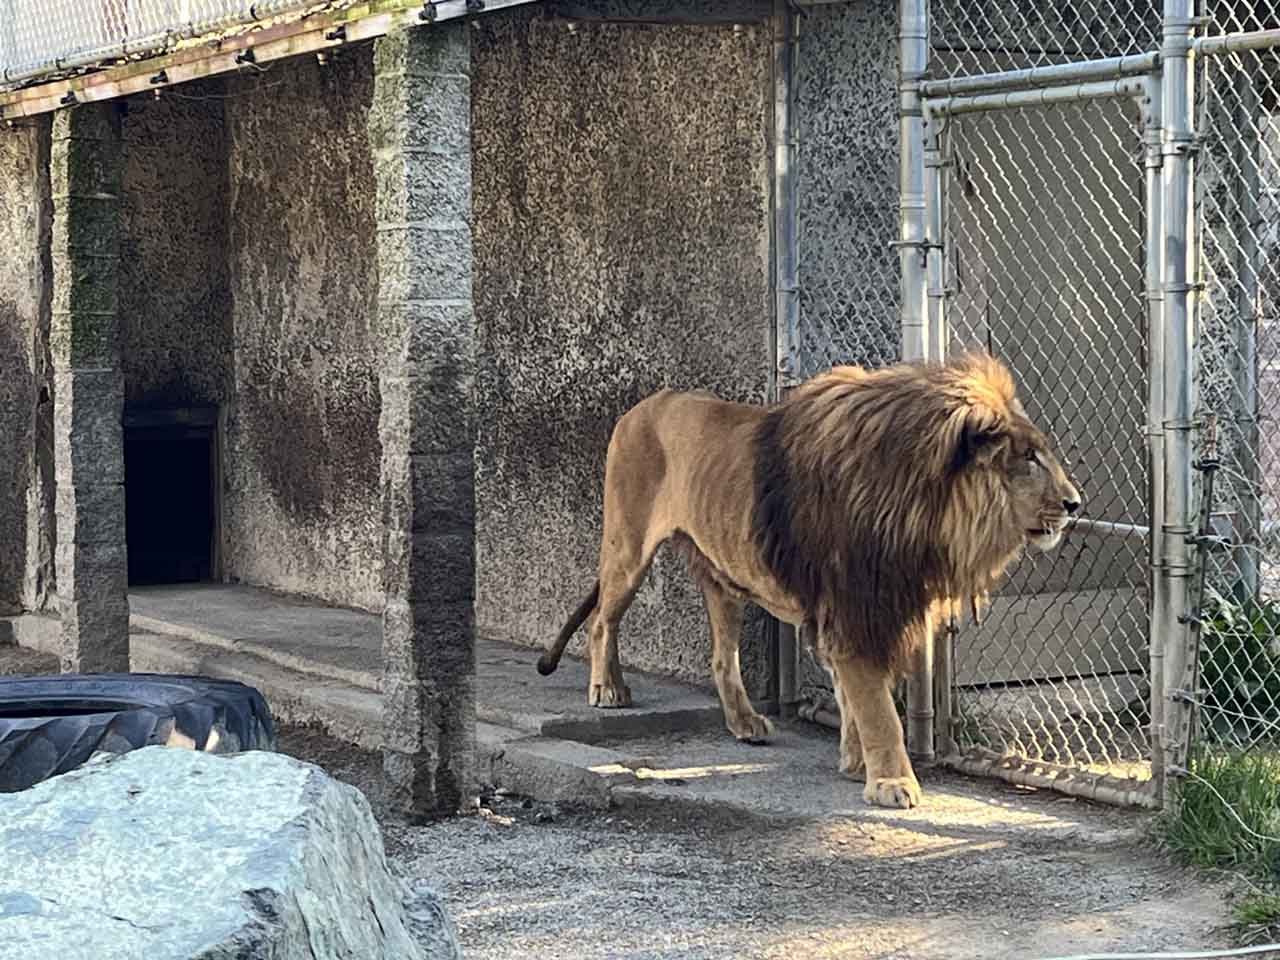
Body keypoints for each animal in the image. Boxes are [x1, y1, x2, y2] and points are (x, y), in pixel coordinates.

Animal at [536, 353, 1081, 809]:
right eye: (1029, 458)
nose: (1075, 503)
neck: (923, 508)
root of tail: (646, 403)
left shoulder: (862, 607)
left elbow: (853, 697)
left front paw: (856, 763)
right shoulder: (855, 605)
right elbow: (877, 707)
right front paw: (892, 782)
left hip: (723, 576)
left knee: (721, 658)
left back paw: (744, 723)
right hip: (627, 548)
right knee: (603, 621)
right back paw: (608, 688)